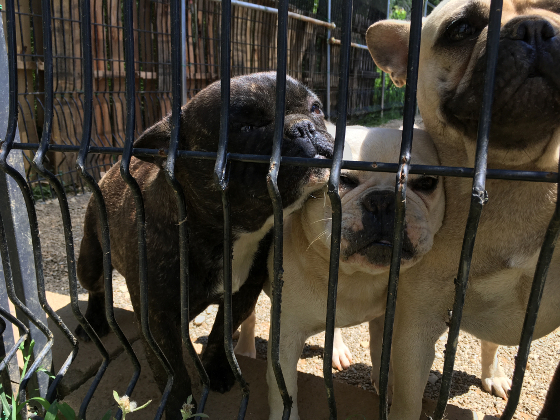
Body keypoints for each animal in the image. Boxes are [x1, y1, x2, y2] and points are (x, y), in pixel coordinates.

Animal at [264, 128, 444, 420]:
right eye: (343, 180)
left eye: (427, 182)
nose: (383, 200)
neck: (356, 277)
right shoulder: (285, 337)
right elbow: (283, 389)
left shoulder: (386, 320)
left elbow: (382, 356)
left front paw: (387, 389)